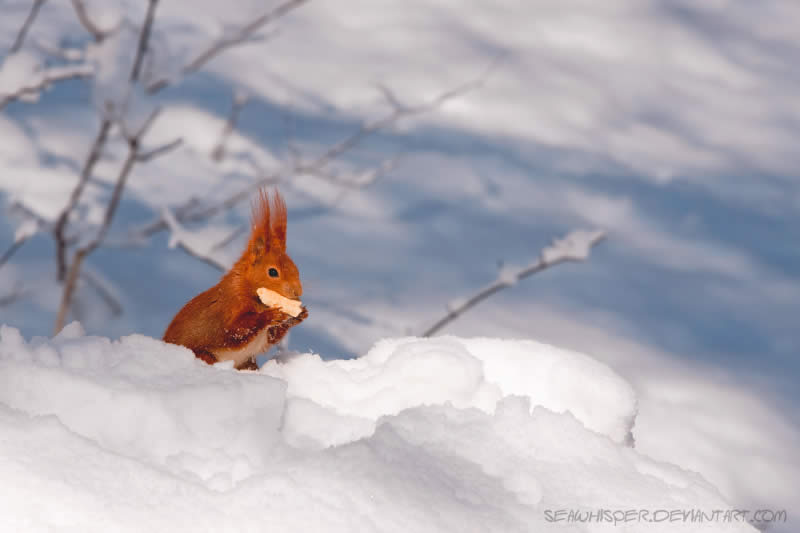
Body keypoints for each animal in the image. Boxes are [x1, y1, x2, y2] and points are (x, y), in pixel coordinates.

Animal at [164, 189, 308, 368]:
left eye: (295, 267)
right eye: (273, 272)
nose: (298, 291)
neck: (252, 292)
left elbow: (271, 336)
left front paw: (299, 315)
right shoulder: (230, 307)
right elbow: (235, 331)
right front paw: (270, 315)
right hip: (205, 356)